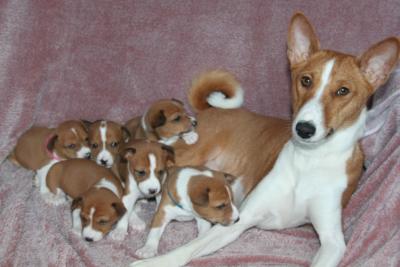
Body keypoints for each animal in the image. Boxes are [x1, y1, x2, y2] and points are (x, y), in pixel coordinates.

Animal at [131, 12, 400, 267]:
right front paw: (151, 262)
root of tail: (209, 110)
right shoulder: (243, 217)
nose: (304, 128)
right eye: (306, 80)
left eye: (343, 91)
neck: (309, 161)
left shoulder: (333, 241)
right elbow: (185, 250)